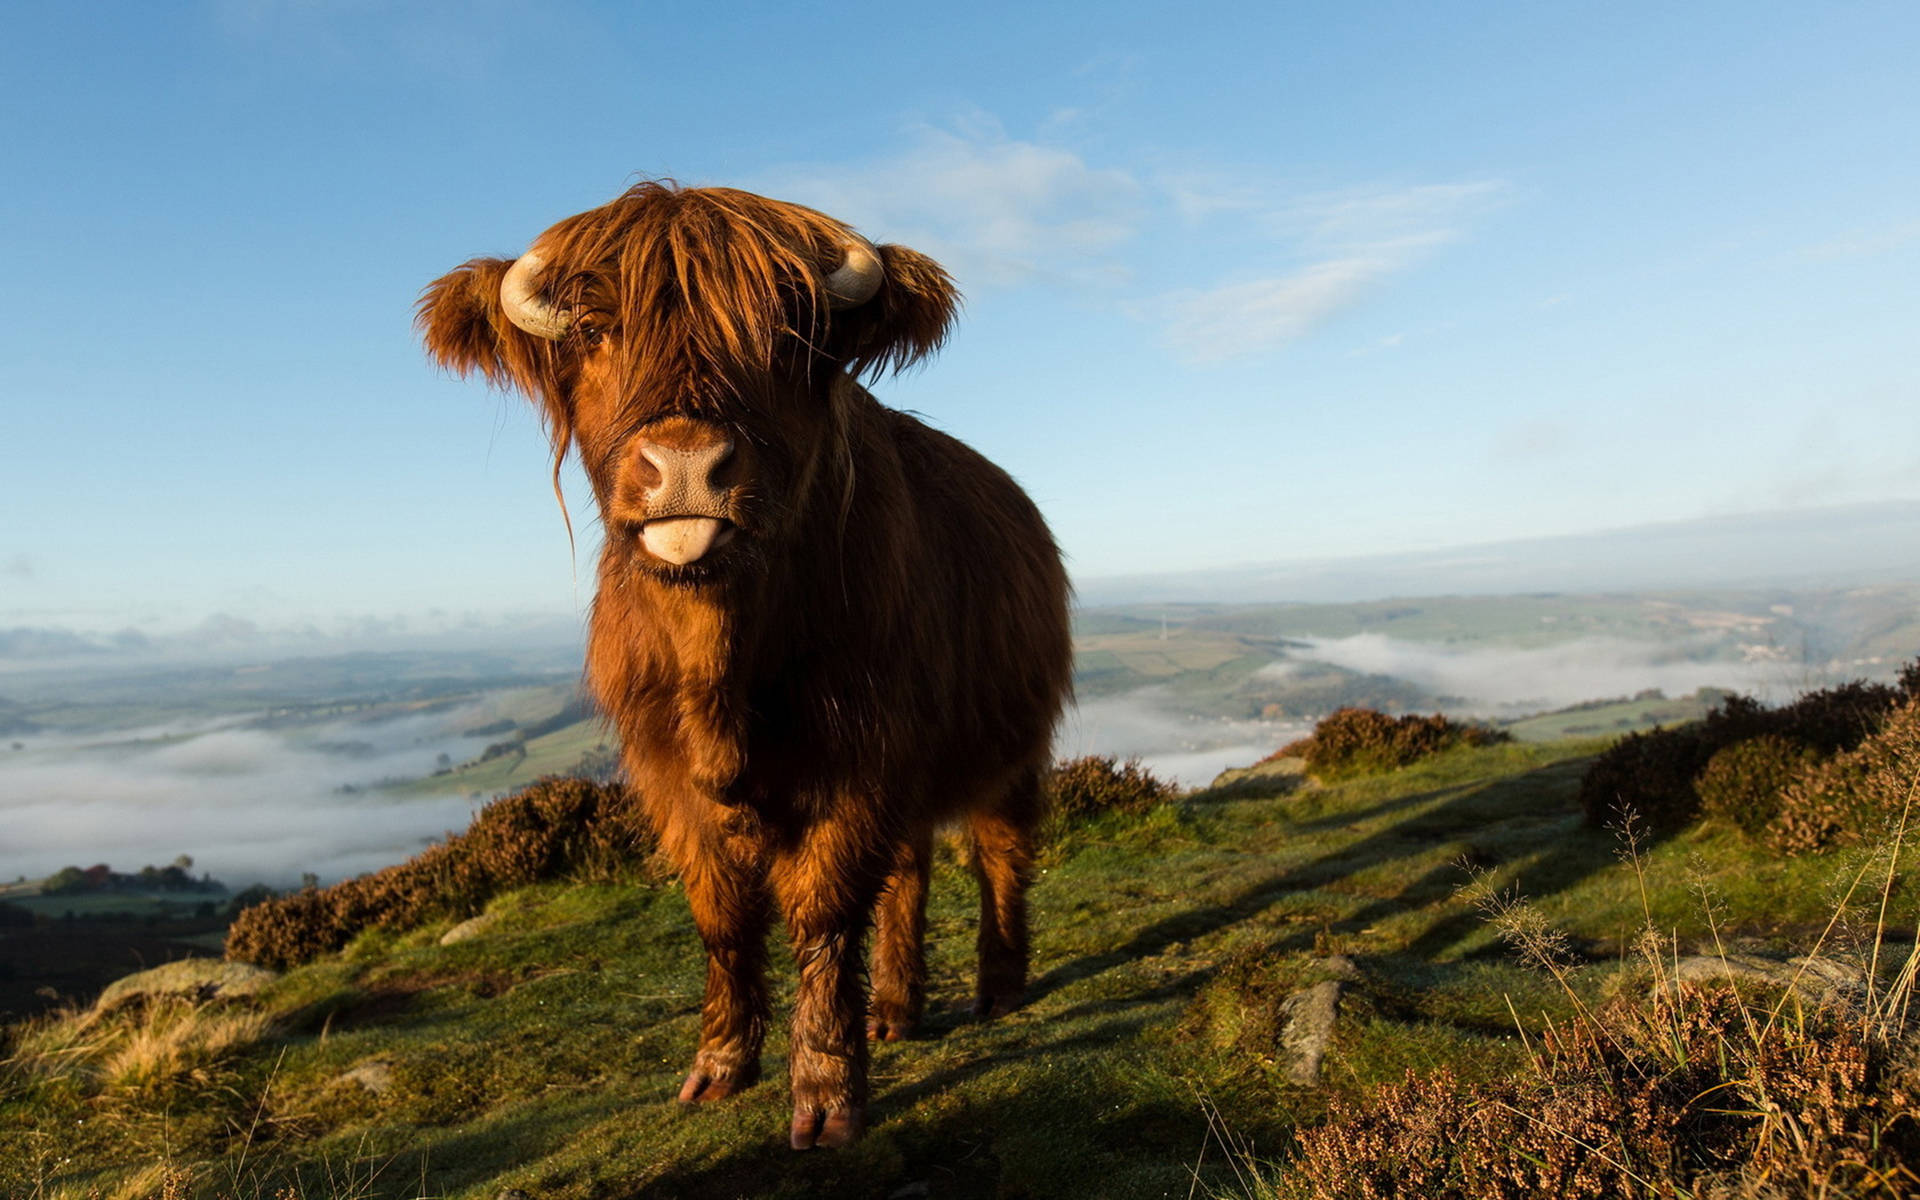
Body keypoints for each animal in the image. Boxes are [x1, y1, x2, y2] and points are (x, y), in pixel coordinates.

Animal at [417, 181, 1073, 1148]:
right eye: (590, 329)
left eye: (786, 339)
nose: (687, 465)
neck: (718, 660)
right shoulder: (664, 765)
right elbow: (722, 913)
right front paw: (720, 1065)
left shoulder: (861, 752)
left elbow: (824, 910)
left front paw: (828, 1094)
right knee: (910, 867)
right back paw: (896, 1008)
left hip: (1011, 743)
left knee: (998, 851)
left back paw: (996, 987)